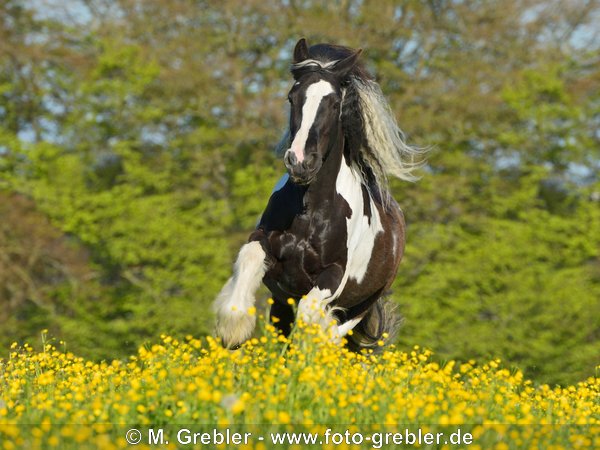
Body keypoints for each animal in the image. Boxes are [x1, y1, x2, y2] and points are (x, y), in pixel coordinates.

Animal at [213, 38, 420, 350]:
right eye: (292, 97)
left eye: (334, 103)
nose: (301, 162)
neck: (310, 209)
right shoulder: (270, 257)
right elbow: (249, 257)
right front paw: (232, 329)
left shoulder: (334, 274)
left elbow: (311, 315)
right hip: (282, 303)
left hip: (359, 308)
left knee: (332, 334)